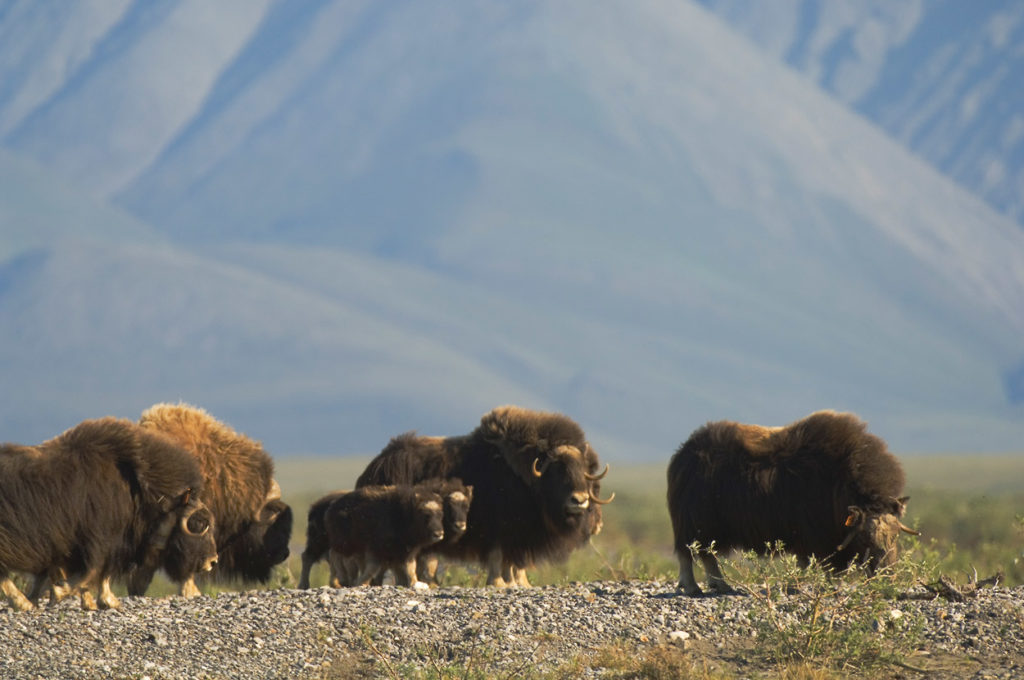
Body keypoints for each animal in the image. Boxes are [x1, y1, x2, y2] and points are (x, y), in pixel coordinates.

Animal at [0, 417, 216, 614]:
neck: (140, 492)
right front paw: (61, 593)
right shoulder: (100, 539)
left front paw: (99, 602)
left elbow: (97, 574)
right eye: (199, 522)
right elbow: (94, 571)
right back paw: (23, 603)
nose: (212, 561)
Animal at [663, 409, 921, 593]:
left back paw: (721, 586)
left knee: (707, 555)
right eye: (865, 538)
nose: (887, 575)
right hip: (694, 523)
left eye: (896, 536)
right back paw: (694, 588)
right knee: (689, 553)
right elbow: (822, 564)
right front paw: (825, 586)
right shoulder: (816, 536)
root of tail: (684, 452)